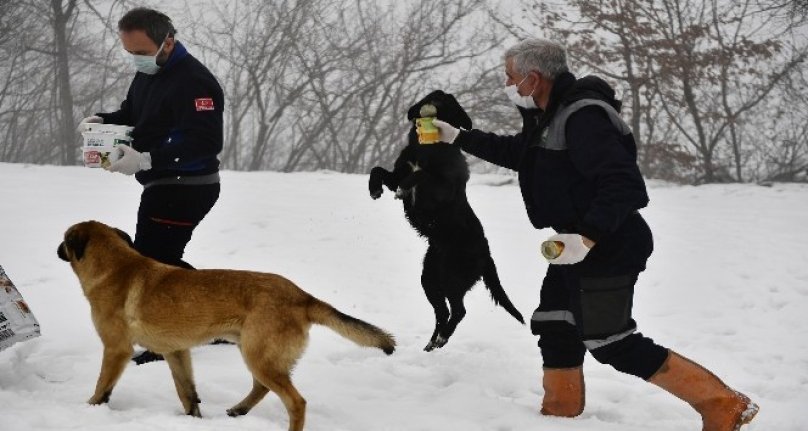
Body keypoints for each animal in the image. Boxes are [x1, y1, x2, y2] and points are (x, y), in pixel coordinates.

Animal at [57, 221, 398, 430]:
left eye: (64, 240)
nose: (57, 249)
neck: (114, 268)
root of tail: (303, 296)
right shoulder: (177, 352)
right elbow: (187, 393)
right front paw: (193, 420)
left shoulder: (116, 349)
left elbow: (102, 386)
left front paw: (91, 409)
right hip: (257, 354)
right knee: (262, 388)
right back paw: (238, 410)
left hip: (258, 356)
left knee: (296, 401)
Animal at [368, 90, 524, 352]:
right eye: (432, 95)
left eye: (447, 101)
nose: (437, 97)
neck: (428, 147)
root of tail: (487, 255)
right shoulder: (397, 173)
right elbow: (377, 169)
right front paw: (374, 189)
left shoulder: (441, 187)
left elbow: (421, 174)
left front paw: (404, 186)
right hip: (430, 277)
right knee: (442, 312)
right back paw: (433, 343)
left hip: (453, 276)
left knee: (459, 310)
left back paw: (441, 338)